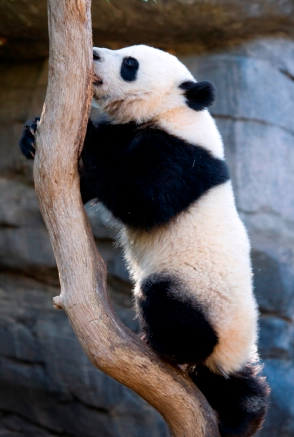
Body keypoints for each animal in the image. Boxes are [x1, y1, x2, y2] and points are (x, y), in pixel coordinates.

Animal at [19, 44, 270, 436]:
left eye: (129, 64)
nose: (93, 52)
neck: (172, 112)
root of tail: (230, 349)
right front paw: (31, 134)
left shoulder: (182, 157)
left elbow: (142, 196)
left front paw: (85, 140)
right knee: (235, 385)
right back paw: (243, 414)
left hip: (202, 291)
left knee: (171, 306)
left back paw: (166, 346)